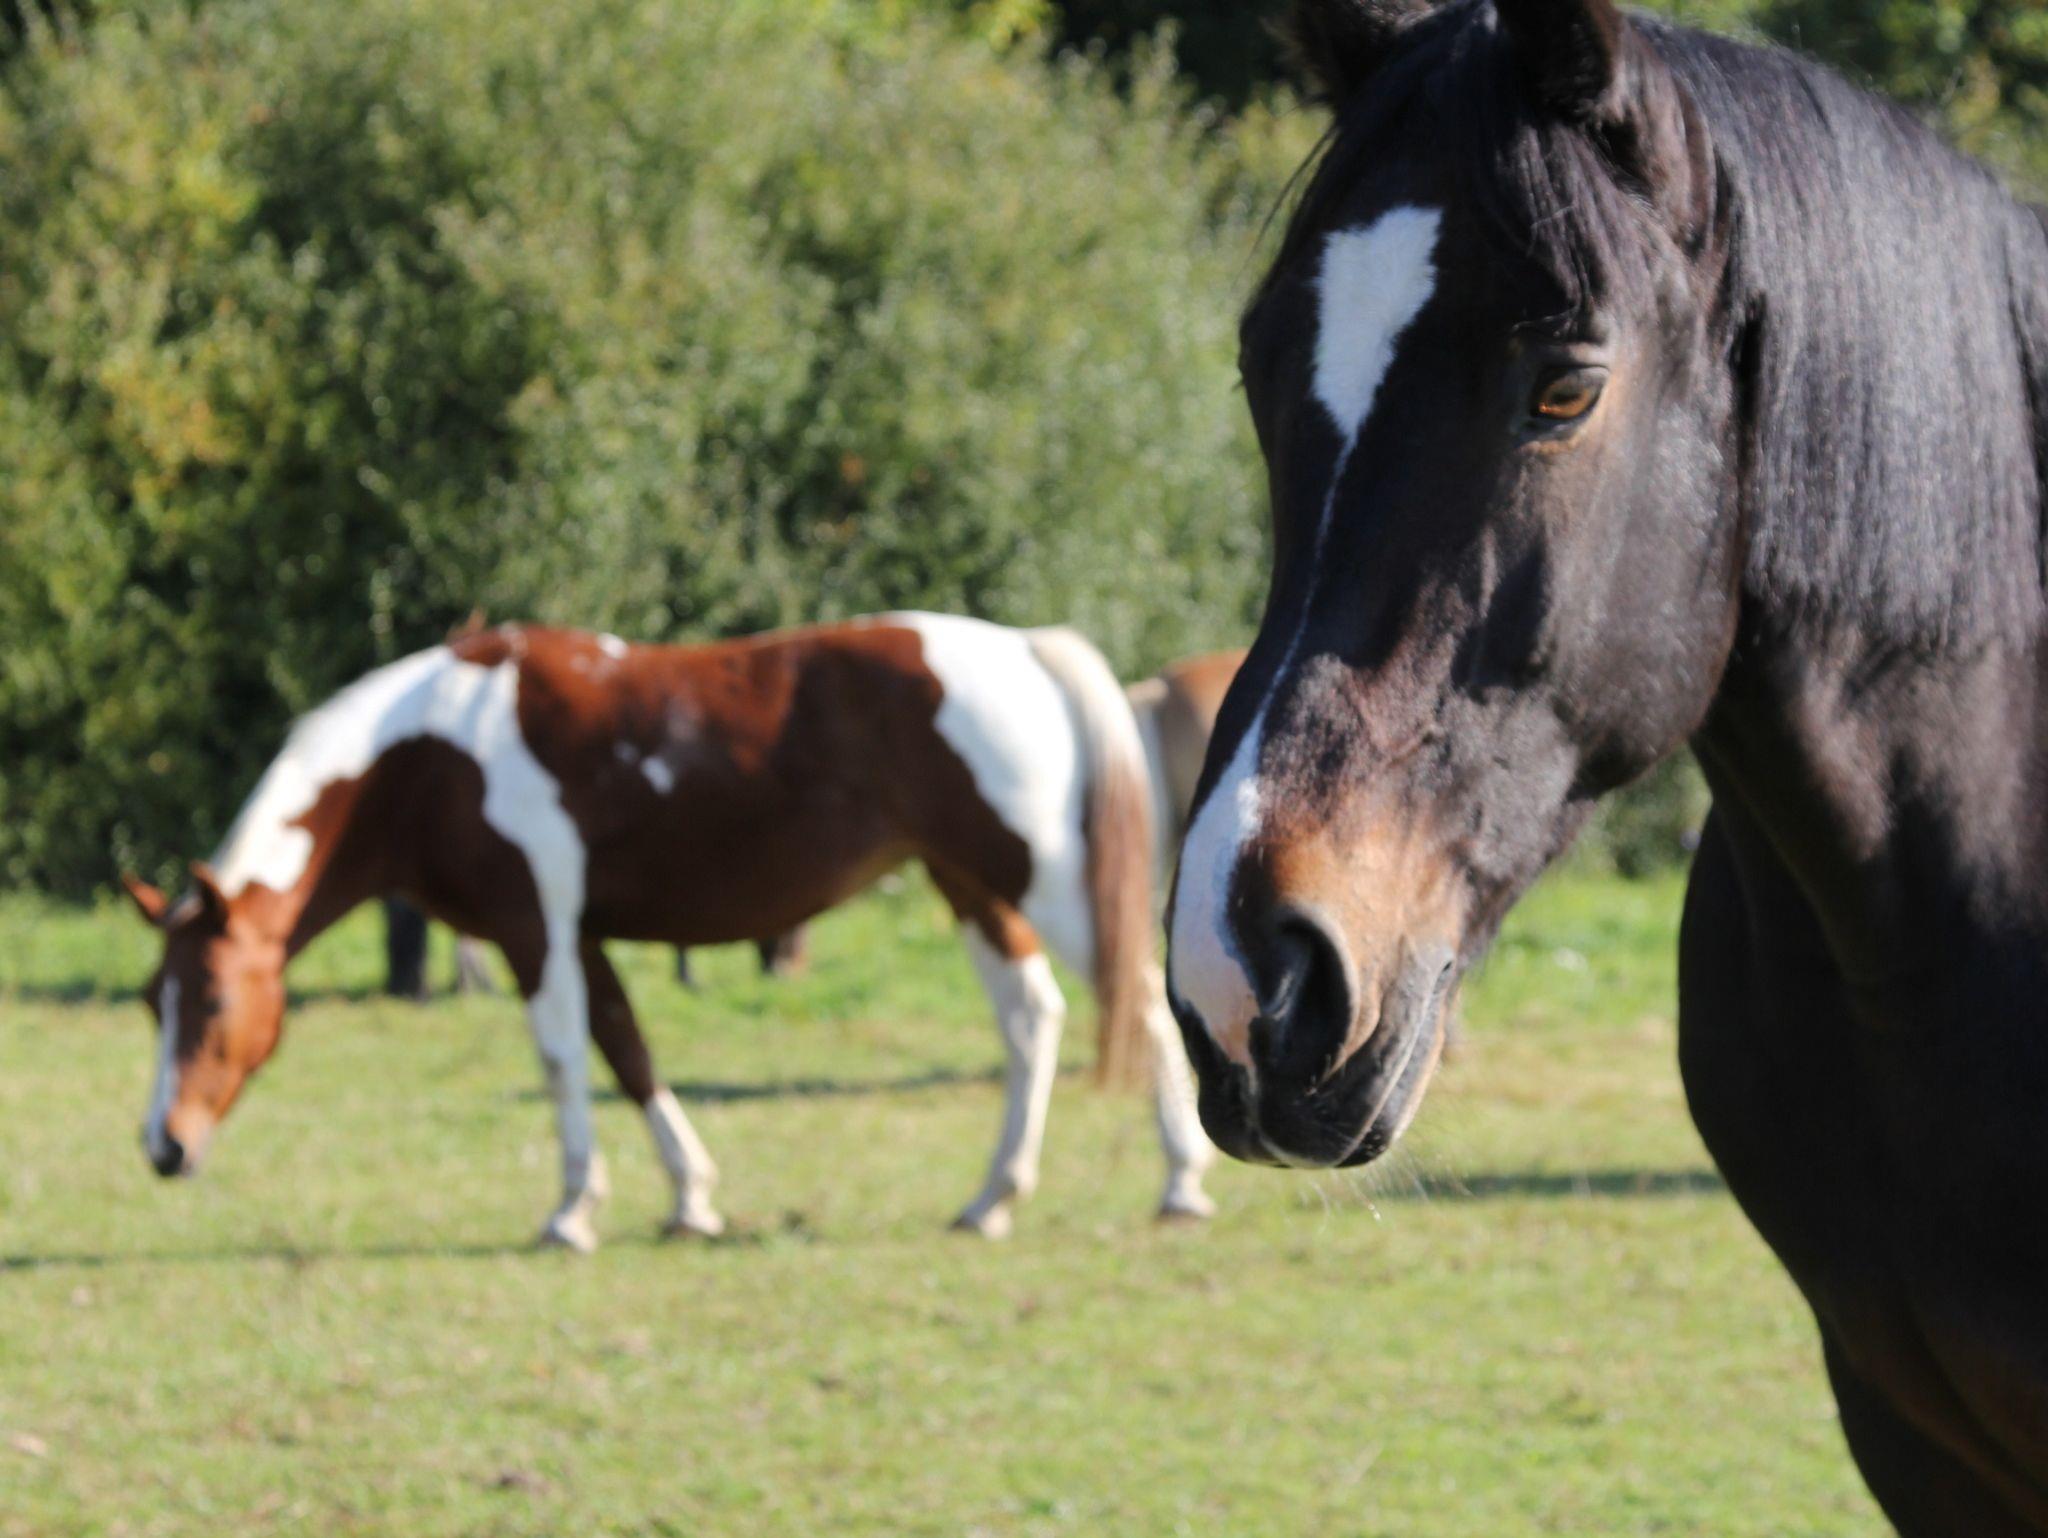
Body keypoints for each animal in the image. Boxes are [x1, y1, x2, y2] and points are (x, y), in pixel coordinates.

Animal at [123, 614, 1215, 1251]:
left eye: (211, 999)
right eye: (151, 1002)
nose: (163, 1147)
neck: (427, 753)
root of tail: (1025, 644)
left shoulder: (535, 929)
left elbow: (567, 1058)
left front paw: (573, 1208)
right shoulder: (578, 934)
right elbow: (628, 1050)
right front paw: (688, 1196)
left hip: (1044, 879)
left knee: (1139, 1004)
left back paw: (1179, 1181)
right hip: (971, 884)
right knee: (1032, 1018)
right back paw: (993, 1194)